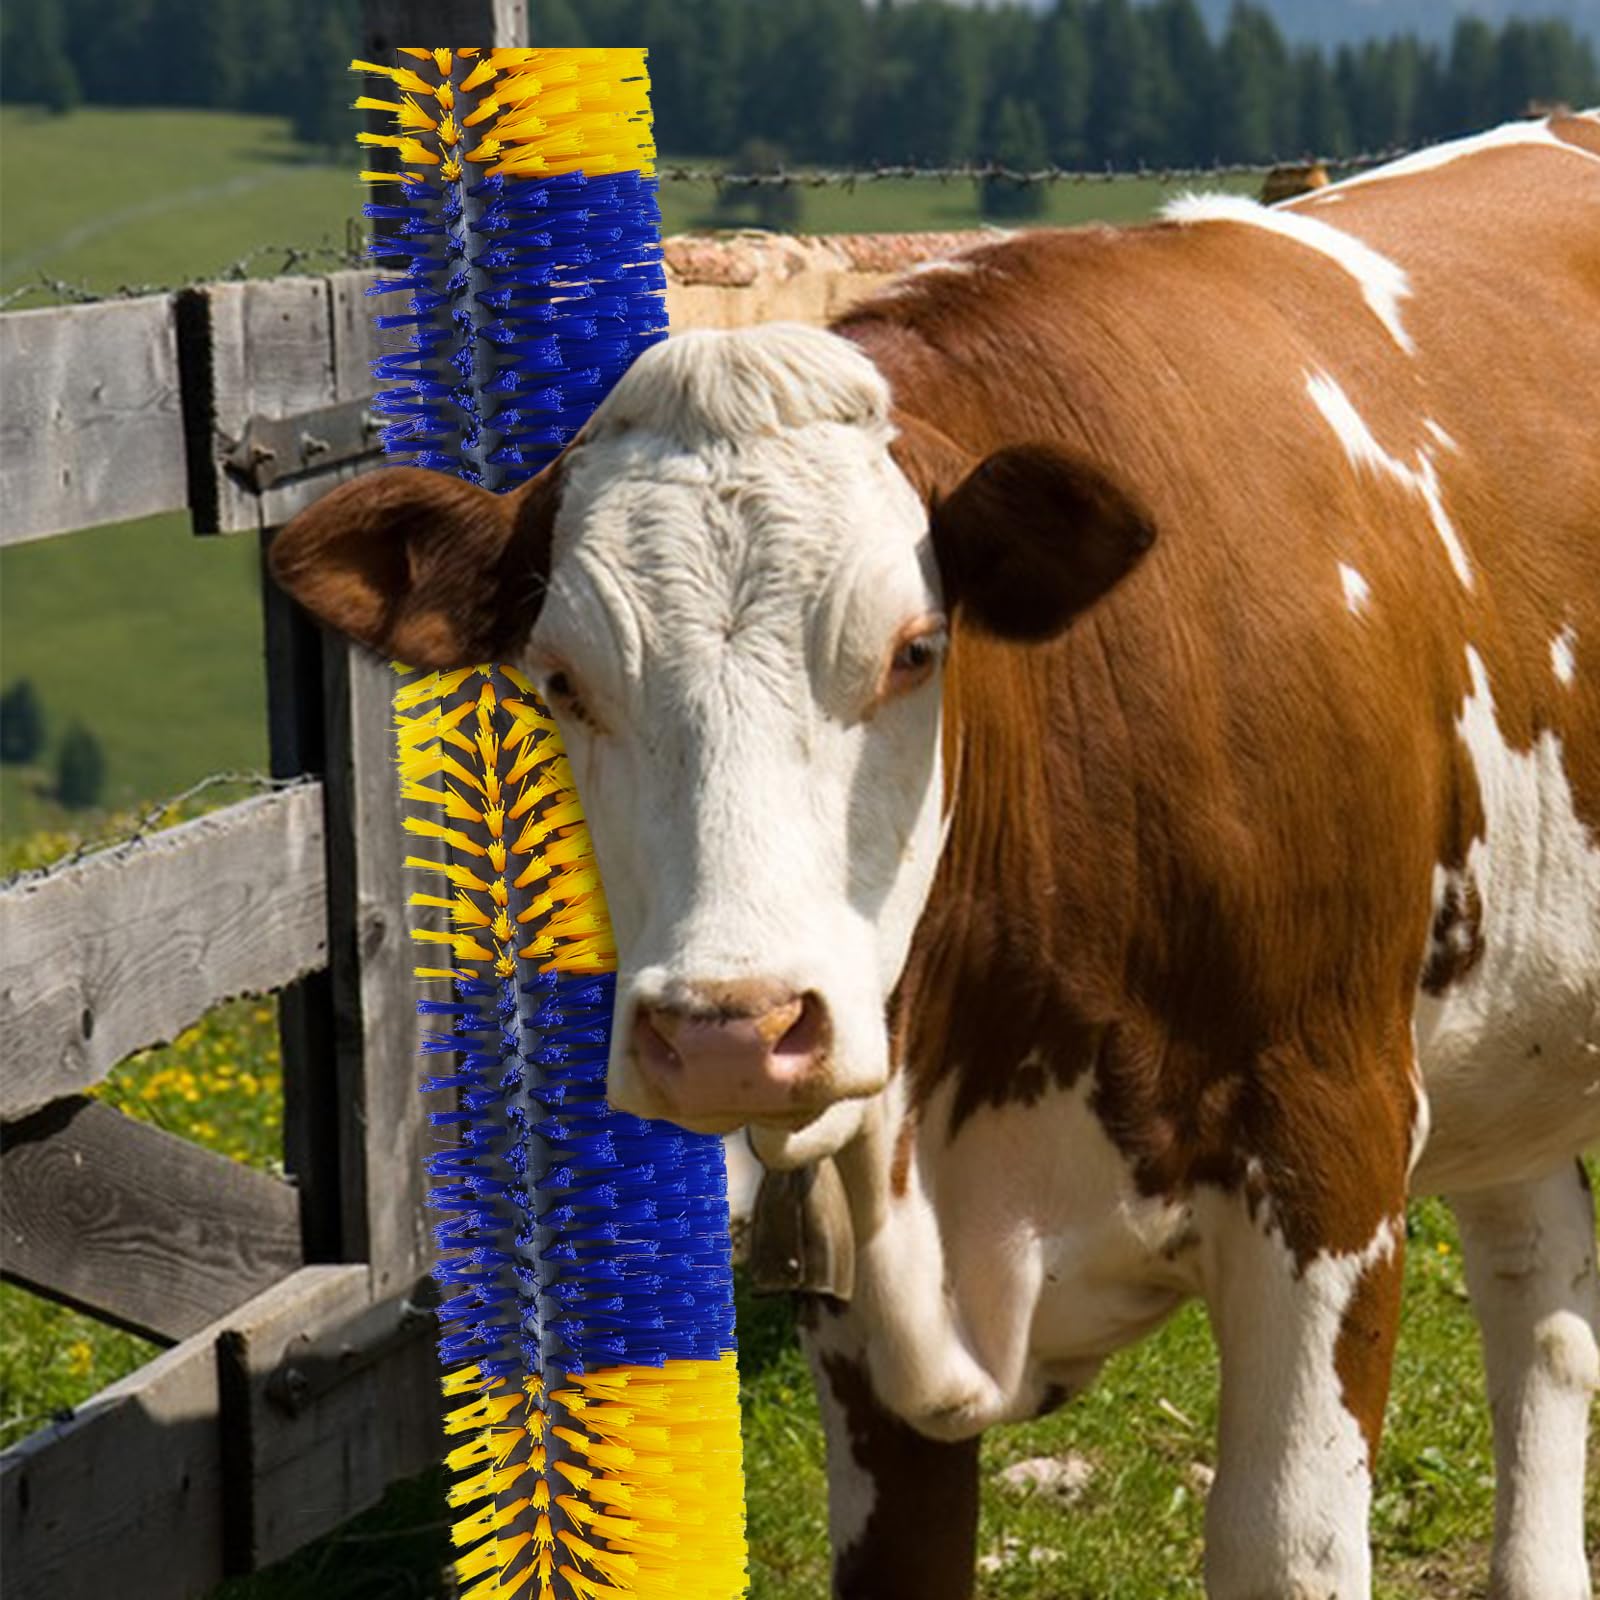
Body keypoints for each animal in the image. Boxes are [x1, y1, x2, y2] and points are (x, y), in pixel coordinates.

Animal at [269, 112, 1600, 1599]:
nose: (730, 1029)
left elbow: (1282, 1542)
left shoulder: (1328, 1148)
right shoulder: (858, 1292)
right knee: (1540, 1298)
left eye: (914, 648)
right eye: (559, 680)